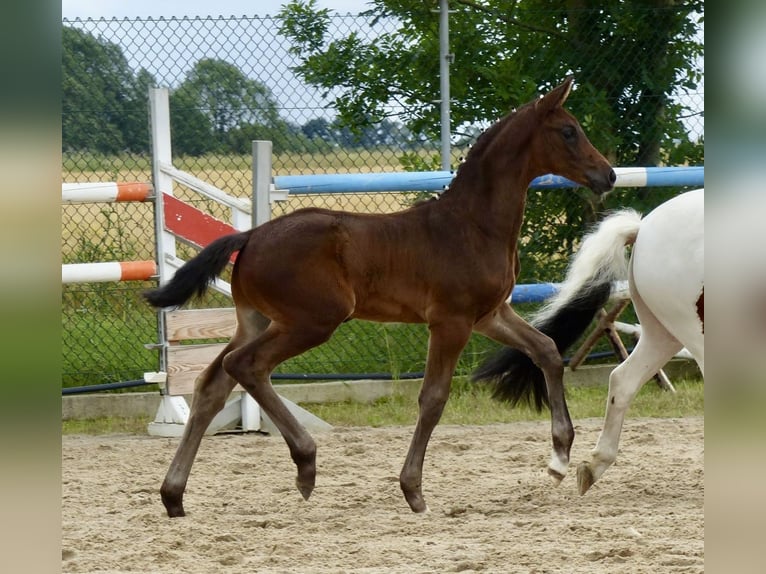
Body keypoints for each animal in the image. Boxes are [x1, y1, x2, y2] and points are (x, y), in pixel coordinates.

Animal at [143, 77, 616, 518]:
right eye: (569, 131)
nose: (608, 175)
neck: (473, 224)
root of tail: (252, 236)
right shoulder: (452, 321)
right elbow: (433, 397)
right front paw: (413, 490)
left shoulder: (490, 314)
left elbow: (547, 350)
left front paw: (560, 456)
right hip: (312, 321)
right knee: (246, 366)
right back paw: (305, 463)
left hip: (256, 320)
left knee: (212, 385)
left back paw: (173, 496)